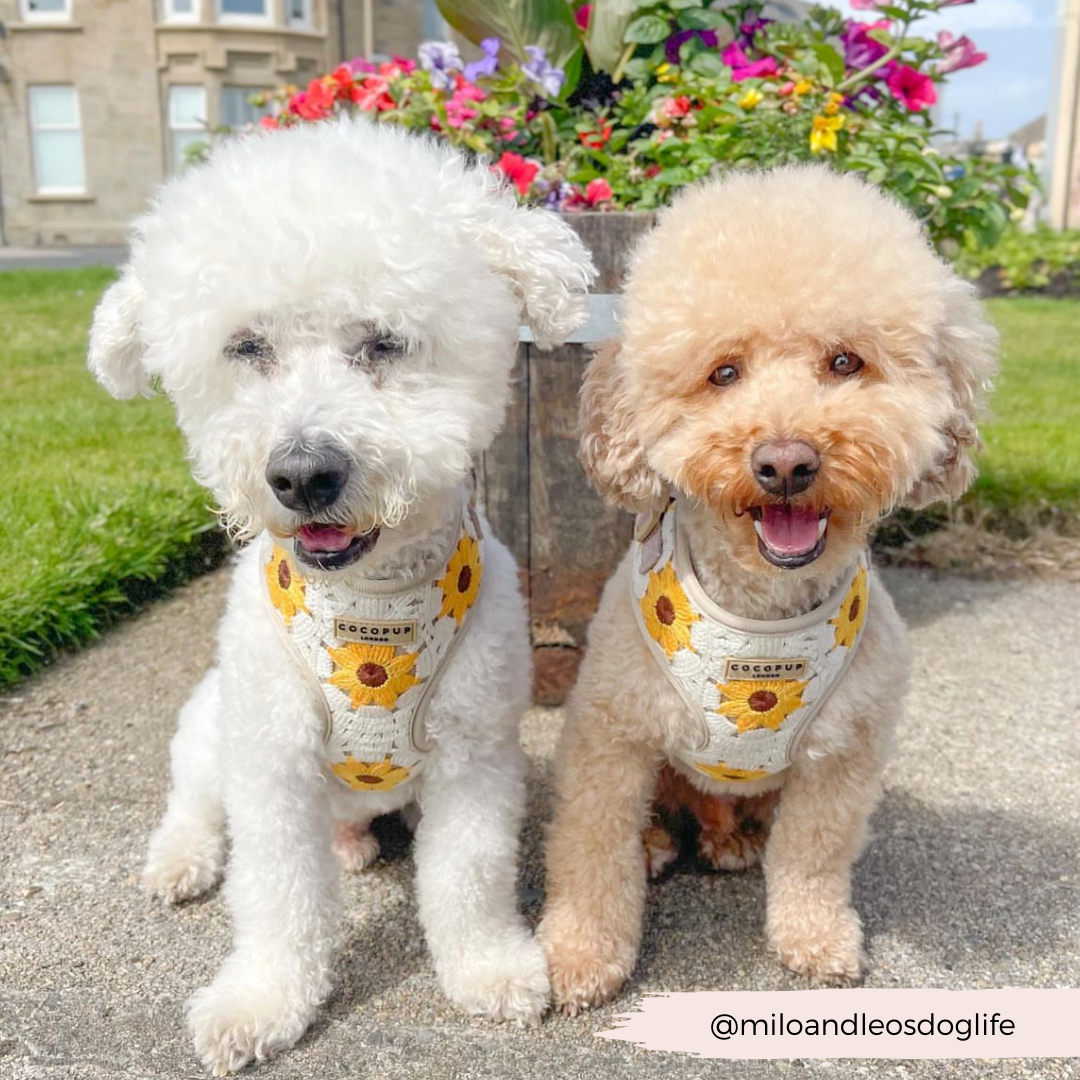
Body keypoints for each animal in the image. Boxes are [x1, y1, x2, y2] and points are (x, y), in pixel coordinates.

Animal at [88, 118, 596, 1071]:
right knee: (192, 800)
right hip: (212, 726)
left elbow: (468, 878)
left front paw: (487, 969)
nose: (301, 473)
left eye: (384, 342)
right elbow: (279, 898)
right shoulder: (271, 766)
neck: (373, 607)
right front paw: (261, 1001)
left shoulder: (475, 755)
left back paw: (356, 844)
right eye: (246, 347)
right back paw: (180, 861)